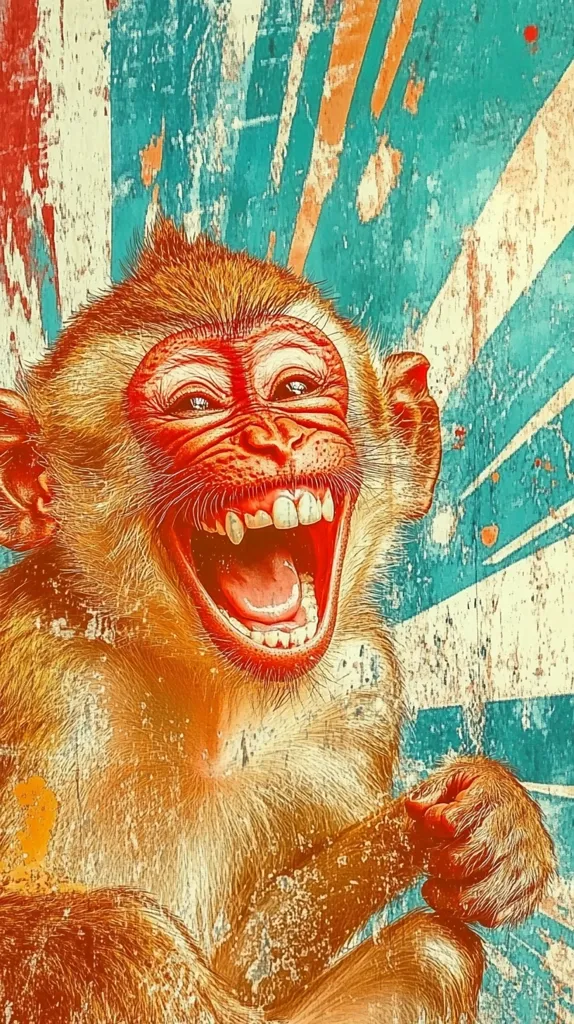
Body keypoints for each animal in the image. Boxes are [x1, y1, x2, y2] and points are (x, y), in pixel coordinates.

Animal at [0, 218, 555, 1023]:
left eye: (294, 389)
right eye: (194, 404)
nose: (271, 438)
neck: (210, 697)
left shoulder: (357, 698)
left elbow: (257, 960)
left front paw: (488, 822)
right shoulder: (36, 678)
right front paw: (135, 956)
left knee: (435, 953)